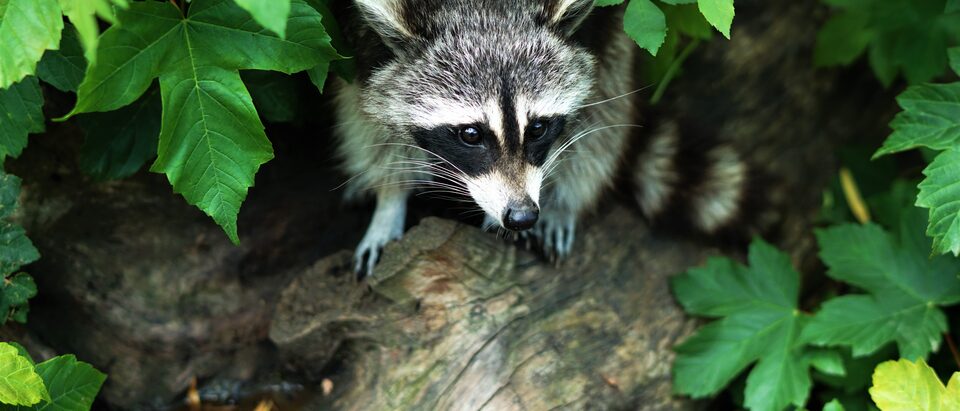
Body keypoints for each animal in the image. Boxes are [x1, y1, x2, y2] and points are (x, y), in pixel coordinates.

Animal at [332, 0, 748, 275]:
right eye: (470, 134)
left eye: (537, 129)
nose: (521, 215)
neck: (479, 10)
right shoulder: (358, 39)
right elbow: (367, 115)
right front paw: (390, 199)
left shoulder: (602, 23)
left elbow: (597, 105)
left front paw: (560, 198)